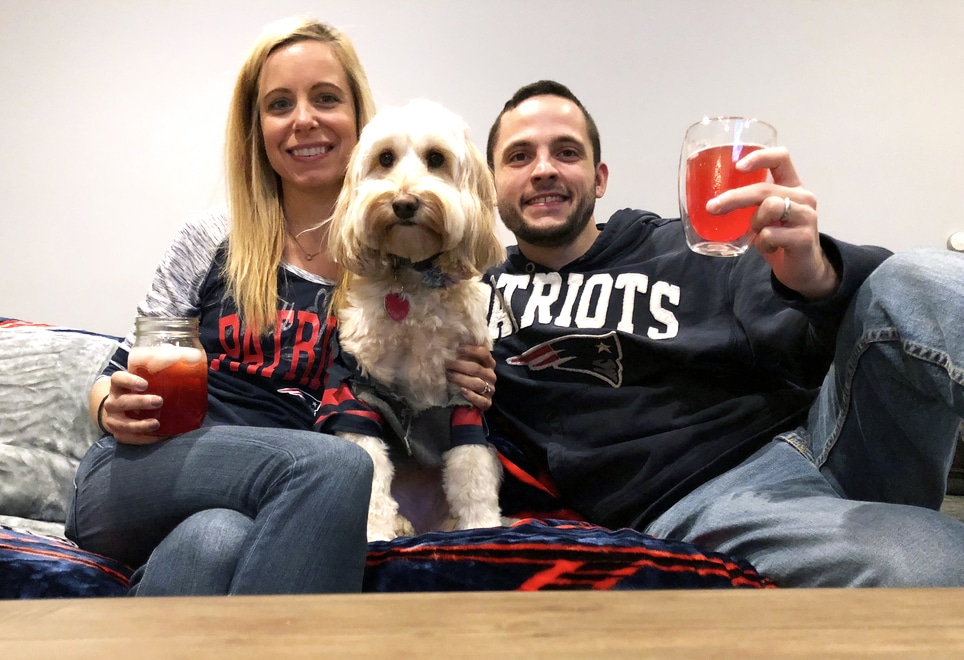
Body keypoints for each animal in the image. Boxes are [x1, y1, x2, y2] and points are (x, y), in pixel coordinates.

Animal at [326, 98, 504, 540]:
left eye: (436, 159)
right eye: (385, 158)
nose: (404, 202)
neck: (413, 278)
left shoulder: (463, 395)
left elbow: (471, 472)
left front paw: (482, 527)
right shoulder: (360, 391)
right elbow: (371, 471)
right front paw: (373, 533)